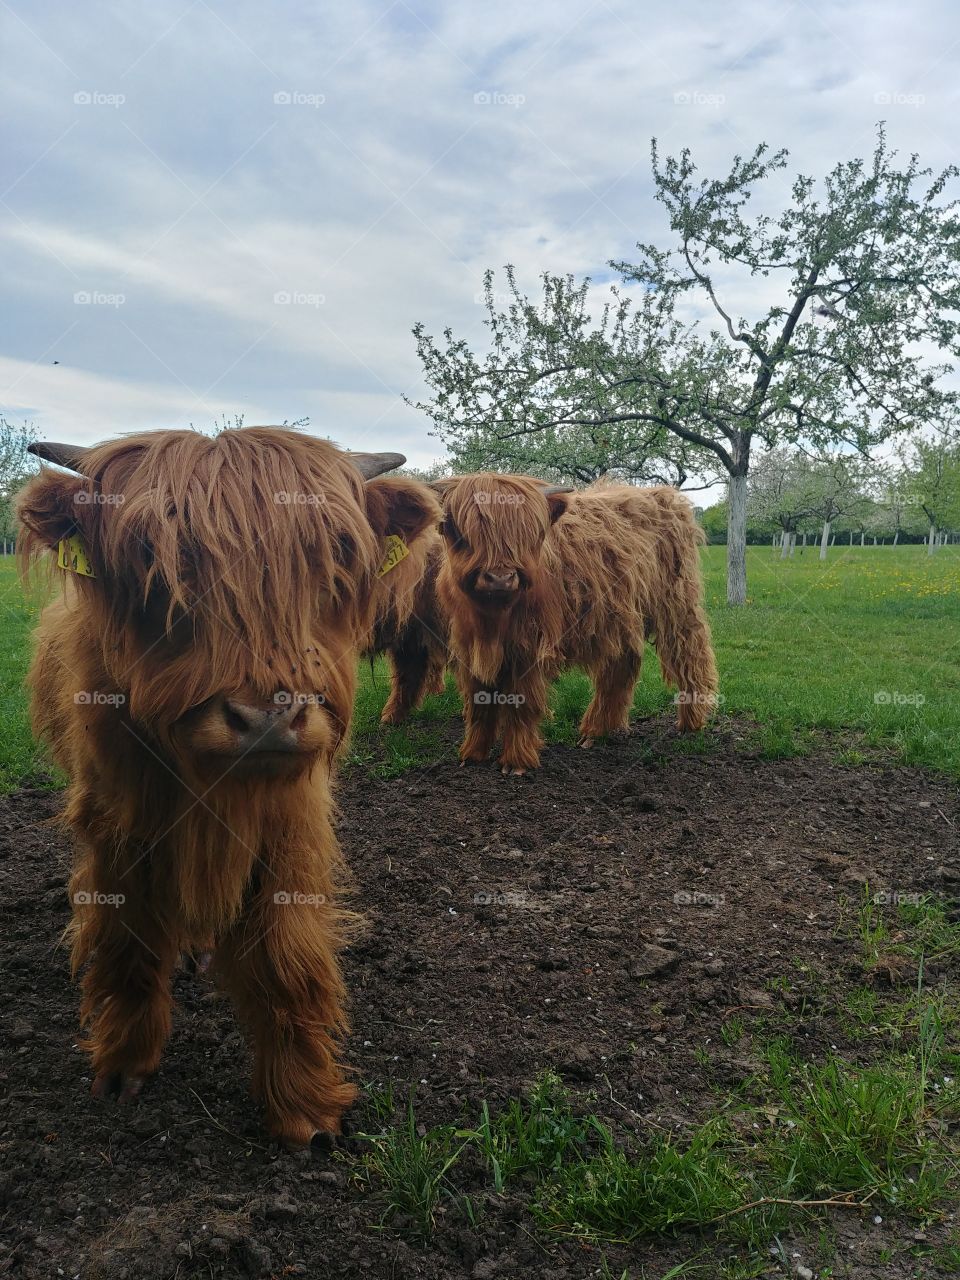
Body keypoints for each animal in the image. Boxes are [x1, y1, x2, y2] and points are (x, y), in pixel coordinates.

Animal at [16, 427, 439, 1146]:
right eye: (153, 564)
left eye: (333, 560)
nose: (266, 716)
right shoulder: (116, 824)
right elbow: (127, 937)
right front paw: (124, 1063)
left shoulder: (291, 824)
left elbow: (286, 957)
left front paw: (304, 1106)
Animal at [434, 473, 719, 774]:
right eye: (463, 534)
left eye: (527, 535)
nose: (500, 578)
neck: (493, 617)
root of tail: (665, 496)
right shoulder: (470, 647)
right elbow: (479, 702)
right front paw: (472, 753)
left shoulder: (529, 648)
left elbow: (521, 702)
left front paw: (516, 761)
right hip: (620, 617)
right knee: (621, 667)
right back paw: (597, 731)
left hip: (677, 606)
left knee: (690, 655)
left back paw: (691, 722)